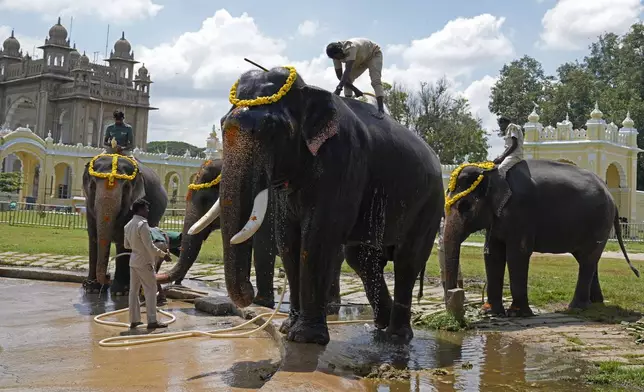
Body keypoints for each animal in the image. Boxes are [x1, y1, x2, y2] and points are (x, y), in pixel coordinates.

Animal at [82, 153, 169, 294]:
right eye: (92, 186)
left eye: (127, 187)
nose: (108, 276)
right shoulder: (89, 206)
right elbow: (94, 237)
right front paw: (91, 289)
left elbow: (124, 241)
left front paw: (119, 292)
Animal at [189, 67, 446, 346]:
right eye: (222, 123)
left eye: (272, 128)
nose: (248, 293)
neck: (307, 91)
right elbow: (287, 238)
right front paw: (287, 329)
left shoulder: (342, 161)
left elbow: (318, 236)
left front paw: (305, 337)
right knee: (362, 259)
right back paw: (380, 327)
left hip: (430, 203)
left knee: (407, 259)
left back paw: (396, 337)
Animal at [442, 158, 640, 316]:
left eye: (465, 206)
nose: (456, 296)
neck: (494, 171)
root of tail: (611, 196)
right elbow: (492, 254)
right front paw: (491, 312)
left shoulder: (521, 212)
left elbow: (517, 254)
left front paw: (517, 314)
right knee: (590, 260)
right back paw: (595, 303)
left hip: (600, 222)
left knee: (587, 259)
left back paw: (575, 308)